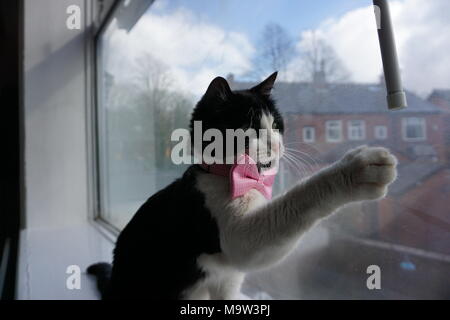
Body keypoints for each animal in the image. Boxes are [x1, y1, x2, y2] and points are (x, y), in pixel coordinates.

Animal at [88, 72, 398, 300]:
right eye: (250, 128)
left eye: (276, 125)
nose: (277, 145)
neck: (229, 176)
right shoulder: (235, 235)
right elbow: (297, 200)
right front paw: (357, 169)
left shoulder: (228, 280)